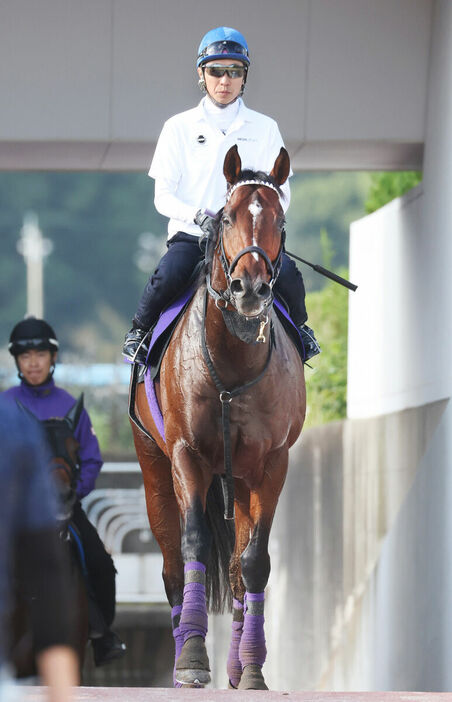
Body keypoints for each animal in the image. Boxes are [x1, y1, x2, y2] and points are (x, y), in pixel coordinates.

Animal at [132, 144, 308, 692]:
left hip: (241, 480)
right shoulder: (187, 455)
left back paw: (235, 663)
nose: (249, 288)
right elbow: (193, 545)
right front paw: (191, 660)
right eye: (227, 216)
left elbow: (252, 563)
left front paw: (251, 668)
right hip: (153, 467)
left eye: (279, 218)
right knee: (172, 564)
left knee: (233, 566)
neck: (234, 362)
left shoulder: (271, 465)